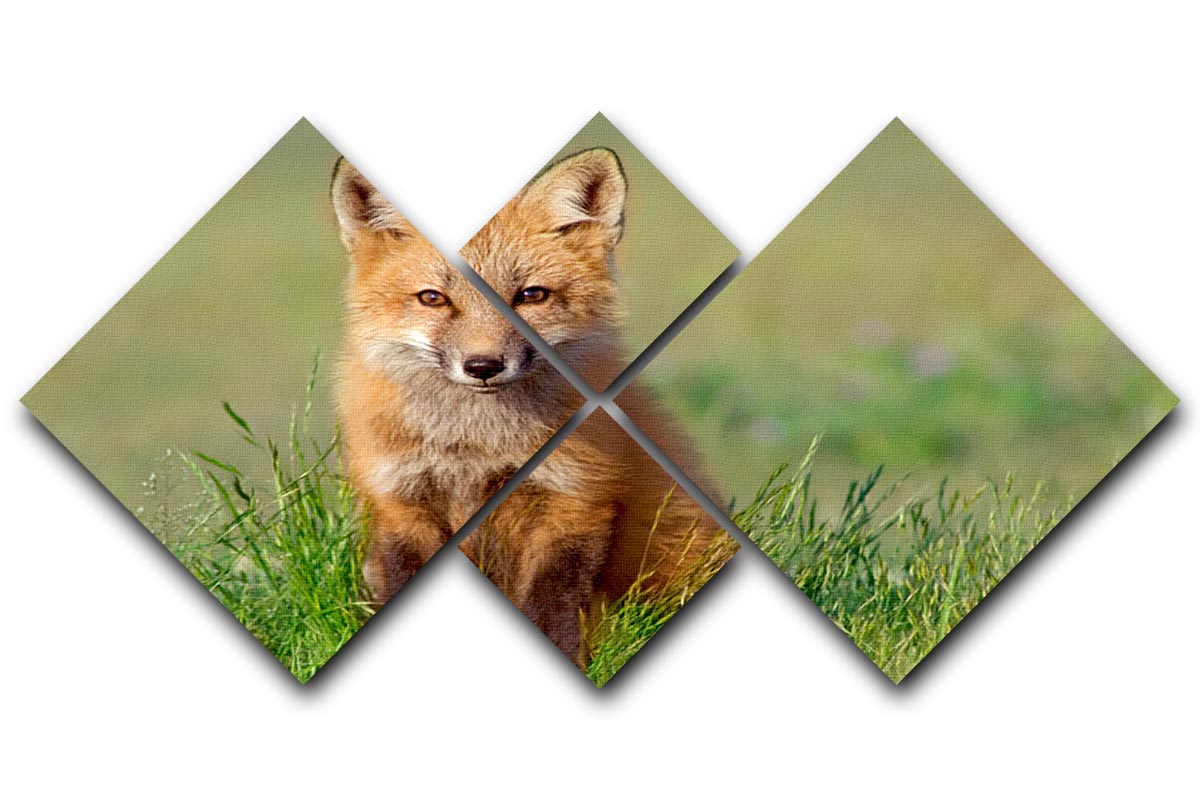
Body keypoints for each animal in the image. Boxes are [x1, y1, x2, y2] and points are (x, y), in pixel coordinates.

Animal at [331, 149, 731, 666]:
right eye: (433, 298)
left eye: (531, 296)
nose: (483, 366)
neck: (475, 447)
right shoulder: (401, 499)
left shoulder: (576, 496)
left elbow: (551, 595)